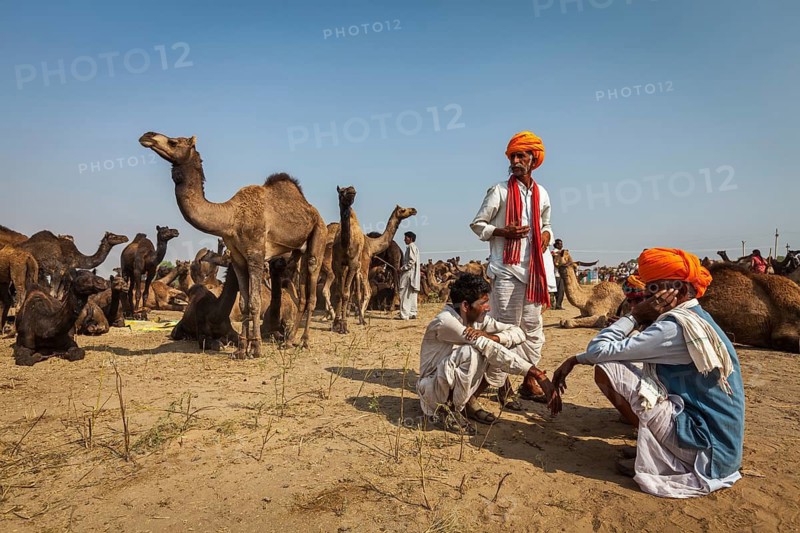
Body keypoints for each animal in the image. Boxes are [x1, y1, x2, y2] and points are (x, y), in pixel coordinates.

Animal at [140, 132, 326, 355]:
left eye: (174, 142)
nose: (147, 136)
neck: (231, 217)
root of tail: (313, 210)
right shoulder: (237, 258)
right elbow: (244, 303)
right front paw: (242, 350)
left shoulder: (255, 254)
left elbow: (254, 302)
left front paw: (256, 348)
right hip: (297, 251)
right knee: (303, 295)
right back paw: (289, 341)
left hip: (319, 234)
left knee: (312, 288)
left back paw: (304, 341)